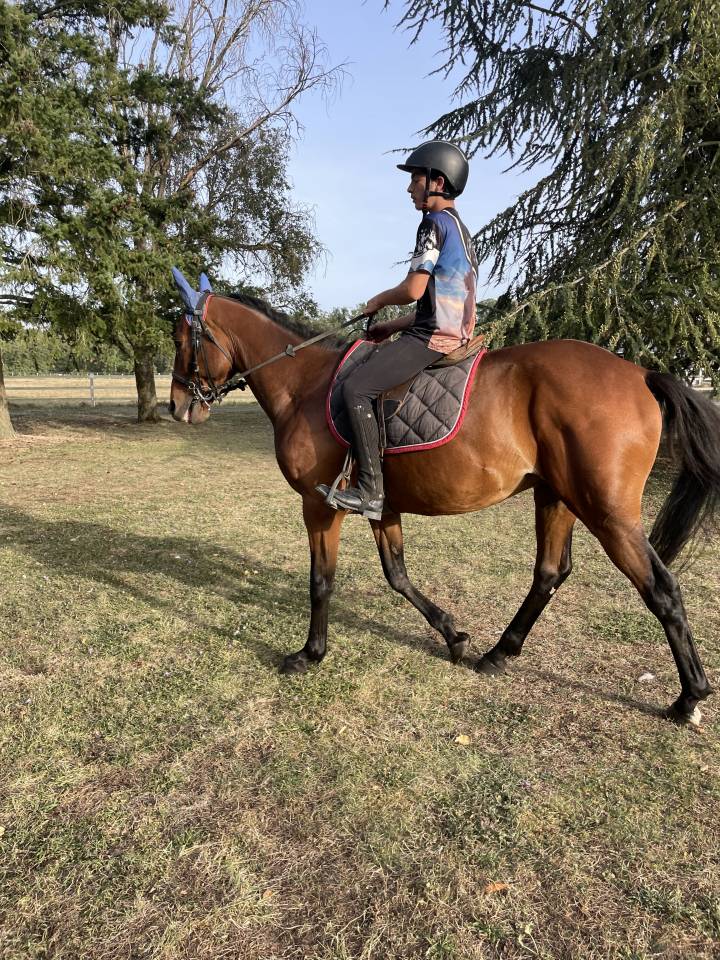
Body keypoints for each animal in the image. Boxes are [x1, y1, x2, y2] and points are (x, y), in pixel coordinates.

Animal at [168, 278, 720, 726]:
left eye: (179, 340)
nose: (177, 406)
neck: (305, 384)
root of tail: (640, 373)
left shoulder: (319, 506)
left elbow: (321, 582)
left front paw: (310, 654)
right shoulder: (381, 505)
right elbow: (397, 574)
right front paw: (453, 636)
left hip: (607, 513)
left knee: (661, 589)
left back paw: (689, 697)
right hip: (556, 496)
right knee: (550, 573)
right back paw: (499, 653)